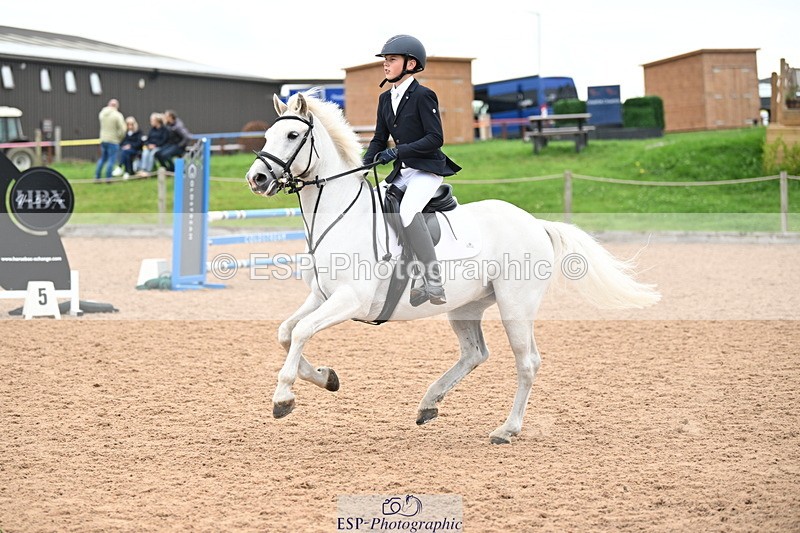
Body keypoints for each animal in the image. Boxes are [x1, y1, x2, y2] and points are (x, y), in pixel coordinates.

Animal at [245, 90, 660, 444]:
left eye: (293, 135)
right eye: (267, 135)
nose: (256, 178)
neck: (341, 215)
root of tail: (535, 223)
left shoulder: (350, 299)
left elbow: (301, 332)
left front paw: (283, 397)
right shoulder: (321, 295)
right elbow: (286, 332)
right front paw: (325, 377)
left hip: (515, 305)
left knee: (526, 363)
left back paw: (506, 429)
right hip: (465, 307)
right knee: (475, 353)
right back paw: (429, 403)